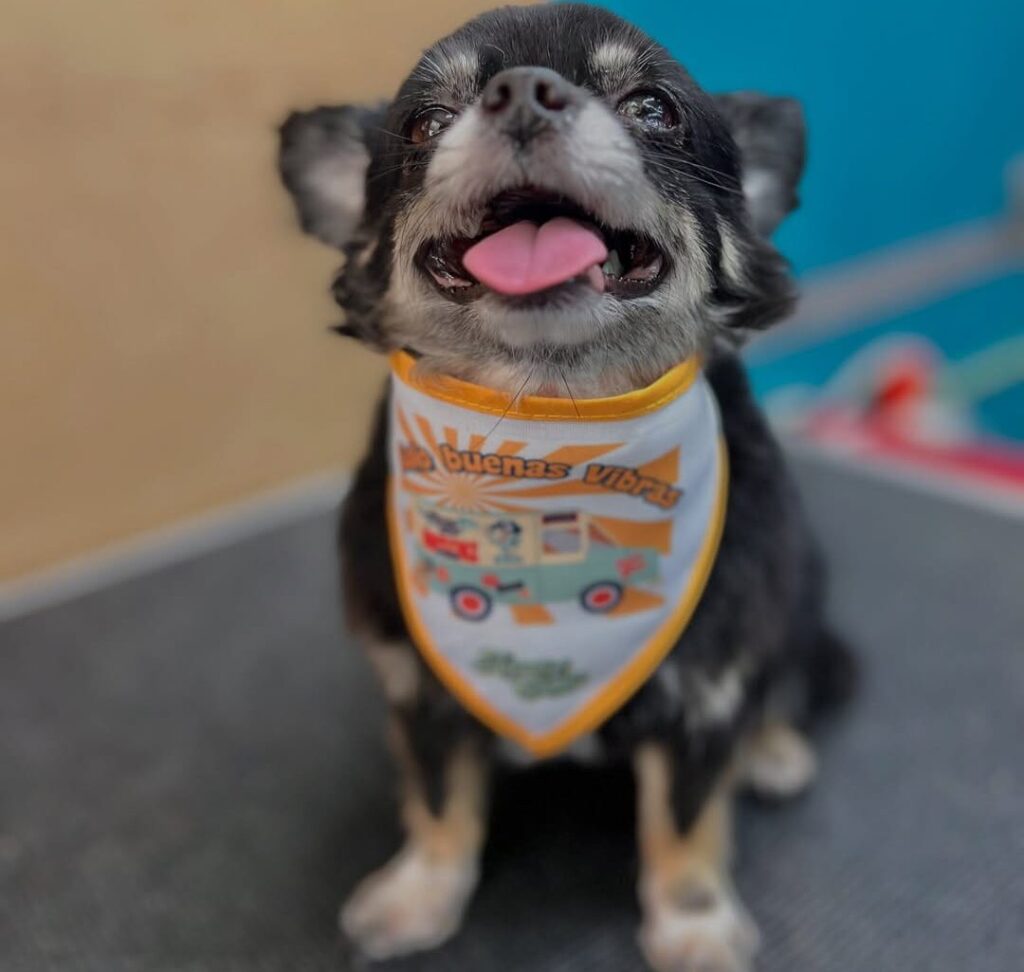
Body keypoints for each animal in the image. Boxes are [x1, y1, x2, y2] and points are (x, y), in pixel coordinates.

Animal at [277, 6, 855, 970]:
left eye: (653, 107)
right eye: (424, 124)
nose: (523, 94)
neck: (551, 426)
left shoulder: (705, 697)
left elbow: (686, 822)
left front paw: (693, 921)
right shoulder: (419, 689)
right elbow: (437, 802)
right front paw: (421, 890)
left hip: (799, 603)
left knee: (789, 682)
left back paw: (771, 750)